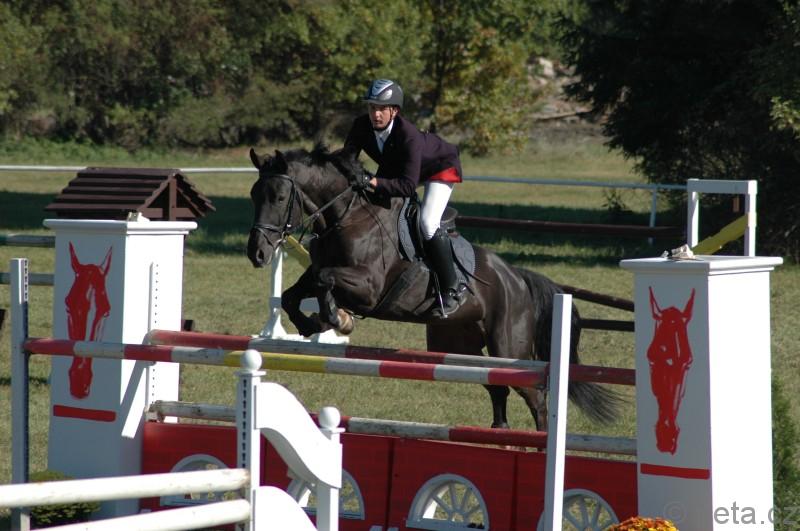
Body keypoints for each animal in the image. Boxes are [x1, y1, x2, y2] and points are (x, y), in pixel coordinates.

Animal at [246, 145, 621, 430]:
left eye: (279, 196)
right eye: (253, 194)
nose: (257, 254)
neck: (346, 217)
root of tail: (517, 277)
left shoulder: (369, 289)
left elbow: (326, 281)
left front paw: (337, 319)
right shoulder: (317, 271)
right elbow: (293, 295)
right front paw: (312, 323)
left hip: (508, 347)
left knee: (536, 397)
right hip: (463, 344)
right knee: (497, 389)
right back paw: (499, 434)